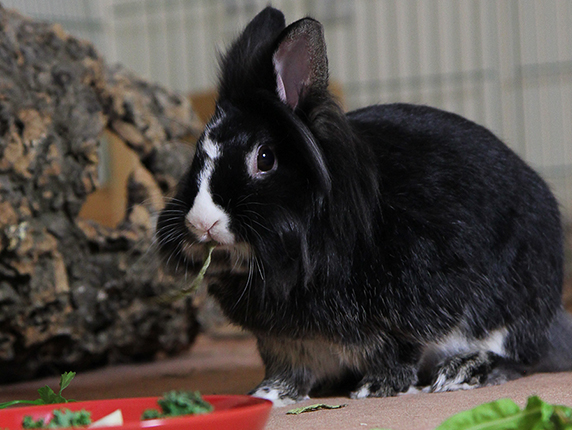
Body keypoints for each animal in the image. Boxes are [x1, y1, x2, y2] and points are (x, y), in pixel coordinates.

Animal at [156, 7, 572, 405]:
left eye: (264, 158)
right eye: (196, 155)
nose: (202, 222)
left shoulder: (401, 317)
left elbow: (396, 354)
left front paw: (377, 389)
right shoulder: (286, 341)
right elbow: (289, 370)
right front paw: (269, 395)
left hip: (507, 308)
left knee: (520, 358)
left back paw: (461, 371)